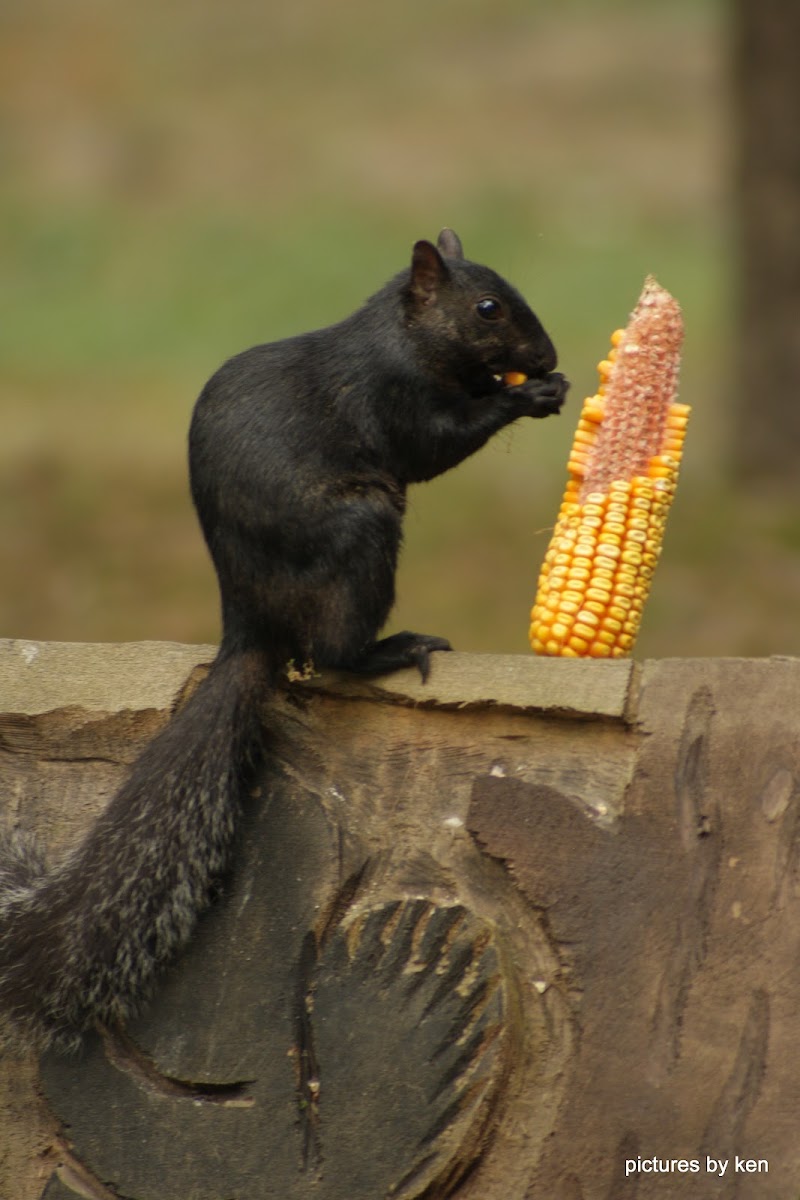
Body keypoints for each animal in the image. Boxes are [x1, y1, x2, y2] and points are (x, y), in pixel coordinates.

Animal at [0, 226, 568, 1051]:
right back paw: (392, 649)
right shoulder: (391, 400)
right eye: (488, 308)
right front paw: (525, 395)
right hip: (362, 532)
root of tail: (250, 625)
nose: (548, 355)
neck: (401, 338)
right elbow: (438, 444)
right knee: (330, 656)